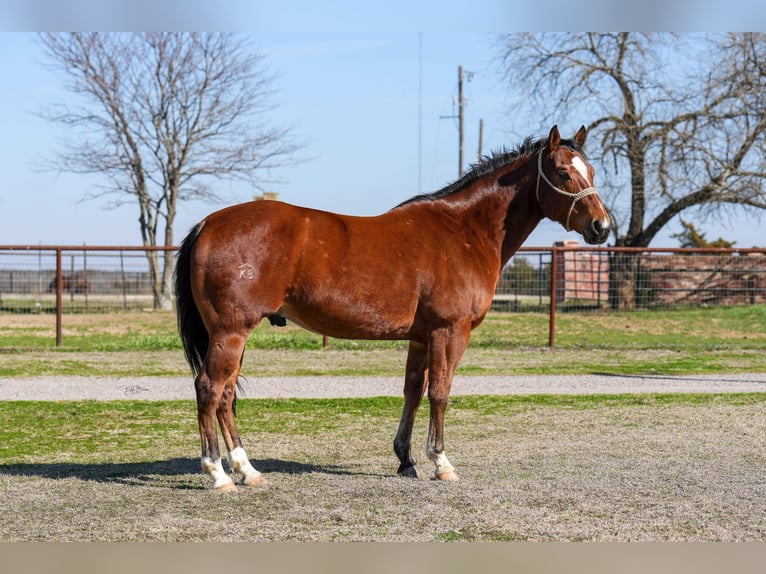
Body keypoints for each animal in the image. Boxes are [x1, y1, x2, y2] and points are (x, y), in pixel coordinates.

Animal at [174, 125, 612, 490]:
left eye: (591, 170)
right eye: (563, 173)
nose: (601, 227)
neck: (464, 231)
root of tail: (208, 224)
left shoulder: (420, 338)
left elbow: (413, 392)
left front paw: (406, 460)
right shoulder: (449, 331)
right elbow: (440, 393)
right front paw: (441, 462)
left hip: (234, 336)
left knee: (226, 396)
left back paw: (247, 470)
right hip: (231, 332)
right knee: (210, 390)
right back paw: (218, 474)